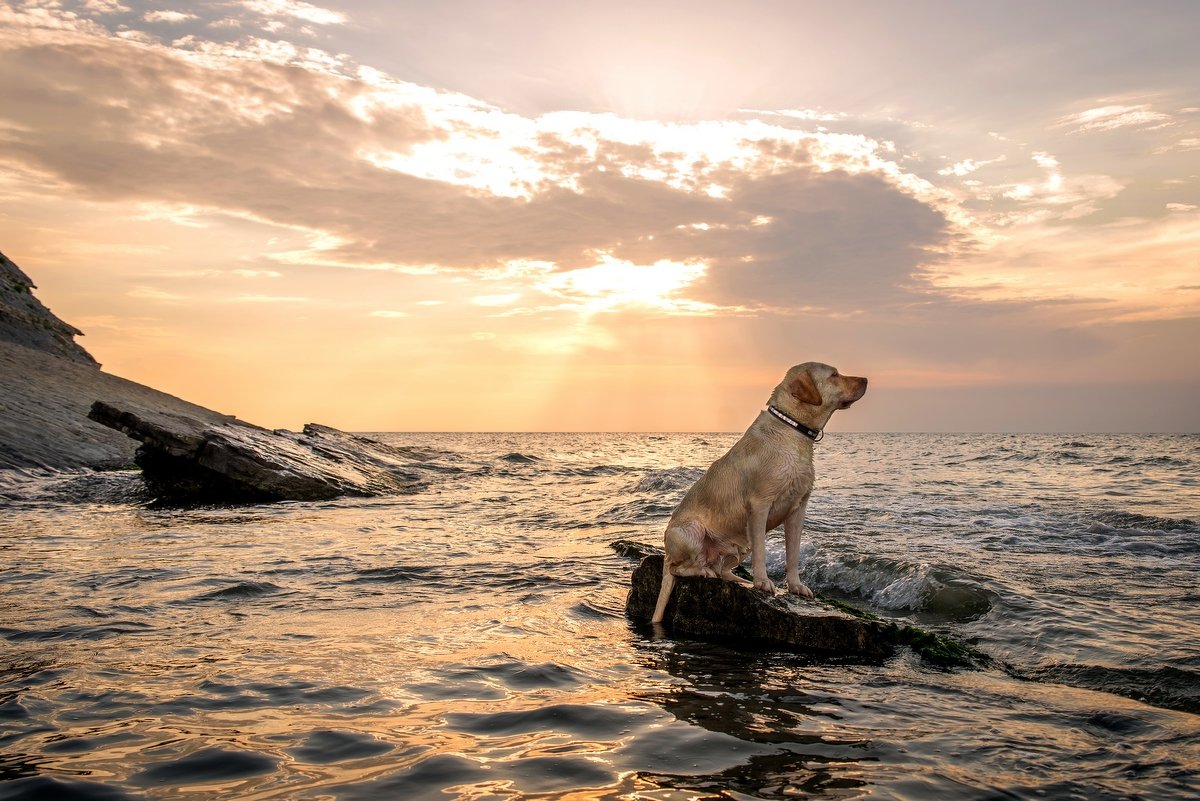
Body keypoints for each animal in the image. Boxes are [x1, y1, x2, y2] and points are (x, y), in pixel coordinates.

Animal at [652, 362, 868, 623]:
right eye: (834, 375)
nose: (866, 379)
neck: (792, 430)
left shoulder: (798, 510)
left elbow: (793, 554)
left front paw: (795, 586)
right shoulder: (759, 506)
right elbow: (762, 553)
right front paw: (763, 582)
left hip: (741, 544)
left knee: (723, 570)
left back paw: (738, 579)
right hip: (692, 531)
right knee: (679, 568)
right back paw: (703, 571)